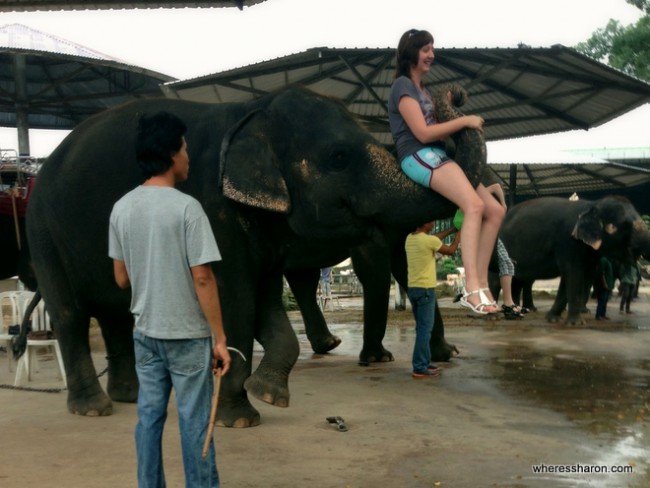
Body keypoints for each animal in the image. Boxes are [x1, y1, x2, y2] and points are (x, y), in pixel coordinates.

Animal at [24, 87, 486, 428]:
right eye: (339, 157)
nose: (456, 93)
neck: (250, 113)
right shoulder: (212, 213)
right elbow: (235, 302)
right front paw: (239, 419)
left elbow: (264, 302)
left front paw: (268, 394)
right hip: (43, 231)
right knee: (70, 314)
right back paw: (93, 408)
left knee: (114, 313)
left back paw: (129, 398)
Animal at [496, 194, 648, 324]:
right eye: (622, 226)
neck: (592, 205)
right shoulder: (568, 241)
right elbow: (573, 273)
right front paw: (576, 323)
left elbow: (574, 276)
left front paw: (553, 319)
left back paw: (517, 311)